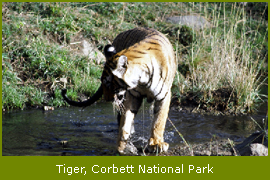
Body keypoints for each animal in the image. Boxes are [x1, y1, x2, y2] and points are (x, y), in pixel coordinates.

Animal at [62, 27, 178, 155]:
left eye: (108, 83)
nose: (107, 99)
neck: (142, 79)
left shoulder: (164, 96)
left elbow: (159, 120)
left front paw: (156, 144)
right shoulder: (132, 96)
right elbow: (125, 121)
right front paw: (122, 146)